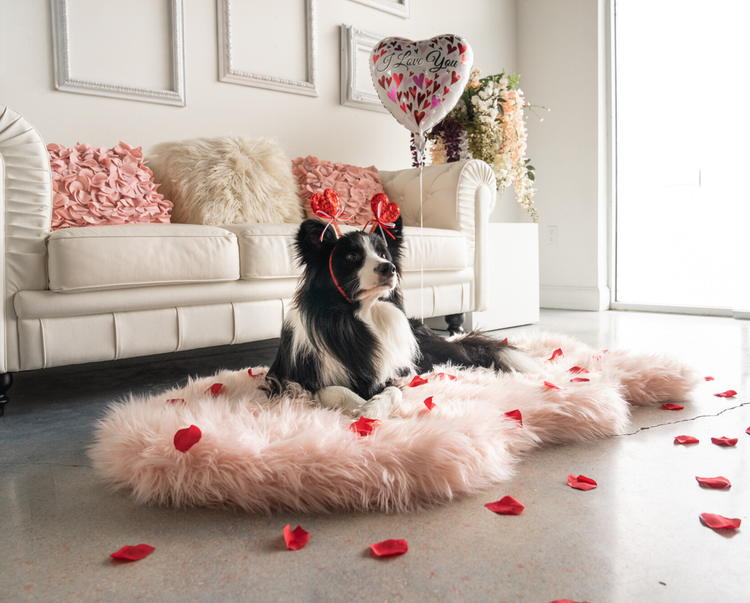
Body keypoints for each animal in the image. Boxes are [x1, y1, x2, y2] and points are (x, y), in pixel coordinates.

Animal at [264, 217, 536, 420]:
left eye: (384, 254)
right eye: (351, 257)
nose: (389, 268)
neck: (357, 319)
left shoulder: (391, 373)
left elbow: (394, 390)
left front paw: (373, 408)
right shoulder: (285, 379)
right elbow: (331, 389)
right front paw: (360, 407)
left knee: (468, 354)